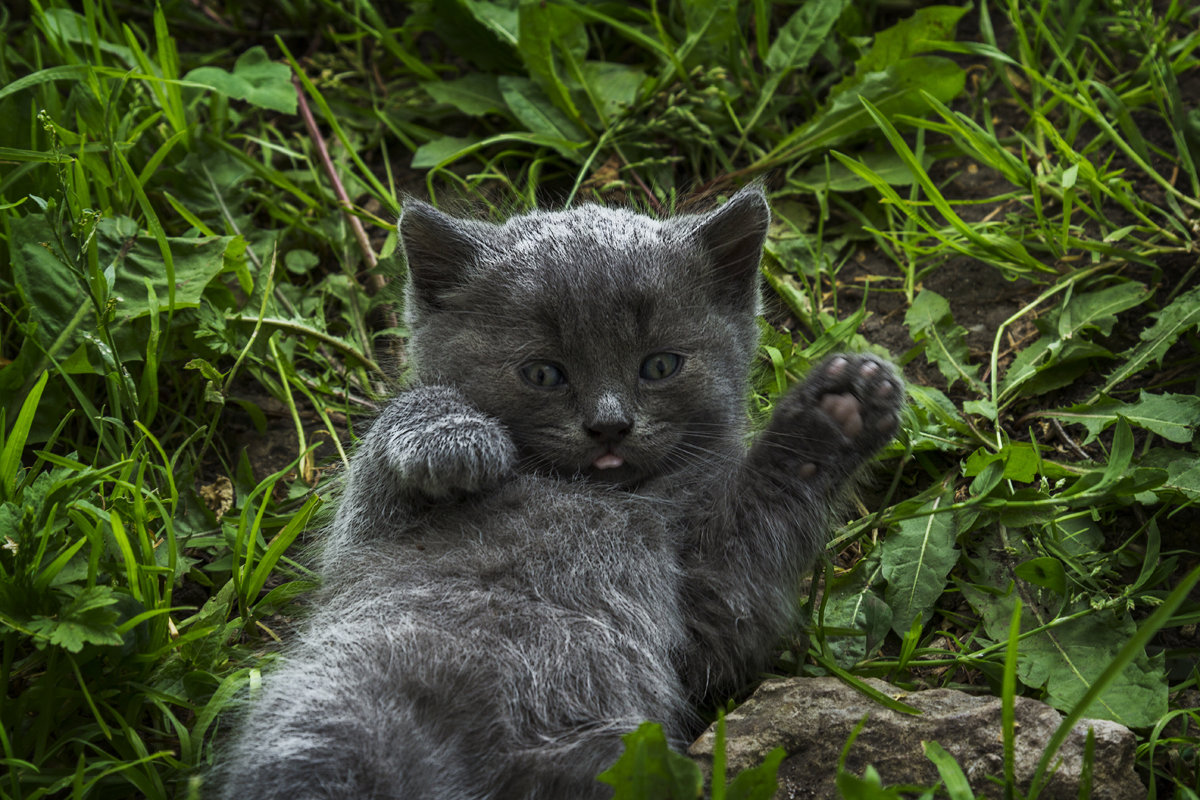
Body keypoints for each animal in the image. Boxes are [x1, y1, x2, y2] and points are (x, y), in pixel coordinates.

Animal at [213, 184, 902, 796]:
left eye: (659, 366)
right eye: (543, 373)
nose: (609, 424)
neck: (603, 496)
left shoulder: (714, 605)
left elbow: (742, 578)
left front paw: (836, 412)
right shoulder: (365, 531)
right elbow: (394, 430)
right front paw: (454, 437)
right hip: (331, 722)